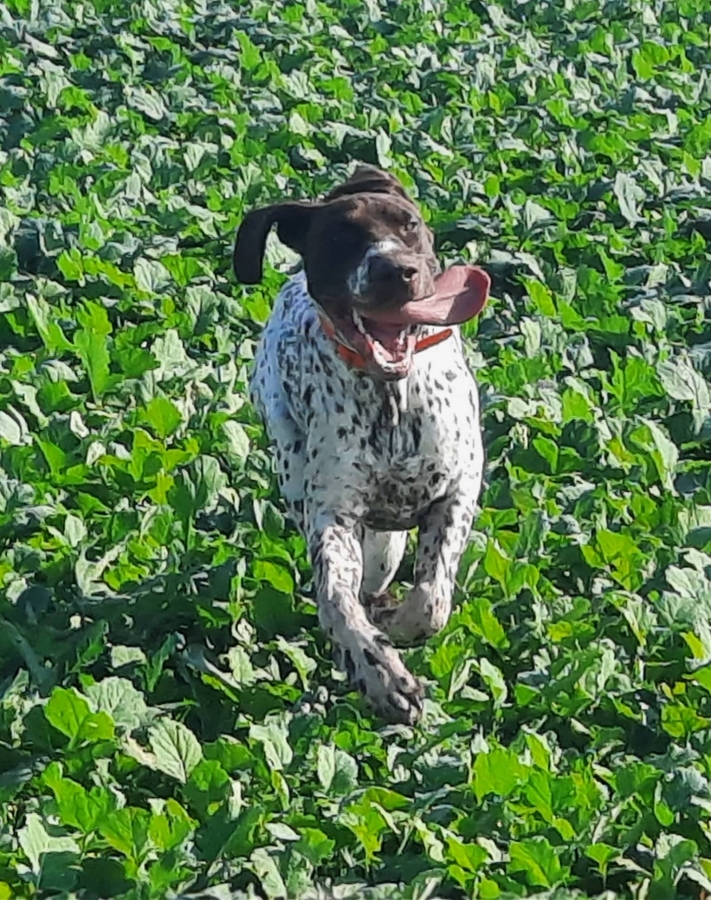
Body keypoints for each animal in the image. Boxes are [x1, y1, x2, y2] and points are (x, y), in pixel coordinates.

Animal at [233, 165, 490, 724]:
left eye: (409, 225)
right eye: (340, 238)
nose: (397, 271)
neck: (391, 397)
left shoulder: (458, 491)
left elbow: (431, 601)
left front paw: (396, 627)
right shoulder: (333, 518)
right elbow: (337, 601)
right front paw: (381, 673)